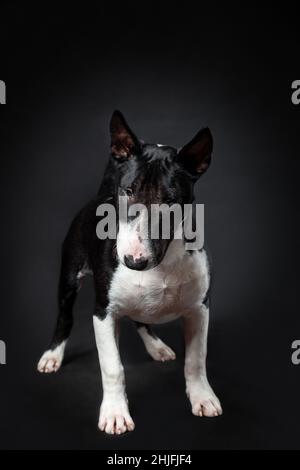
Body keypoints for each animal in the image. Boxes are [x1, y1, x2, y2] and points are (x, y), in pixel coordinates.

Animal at [37, 110, 223, 434]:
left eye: (171, 200)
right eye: (128, 190)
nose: (133, 261)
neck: (162, 264)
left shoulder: (200, 308)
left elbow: (196, 359)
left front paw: (203, 398)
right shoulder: (103, 313)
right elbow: (113, 367)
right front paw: (115, 413)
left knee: (141, 319)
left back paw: (157, 347)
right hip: (69, 277)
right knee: (65, 316)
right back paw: (53, 355)